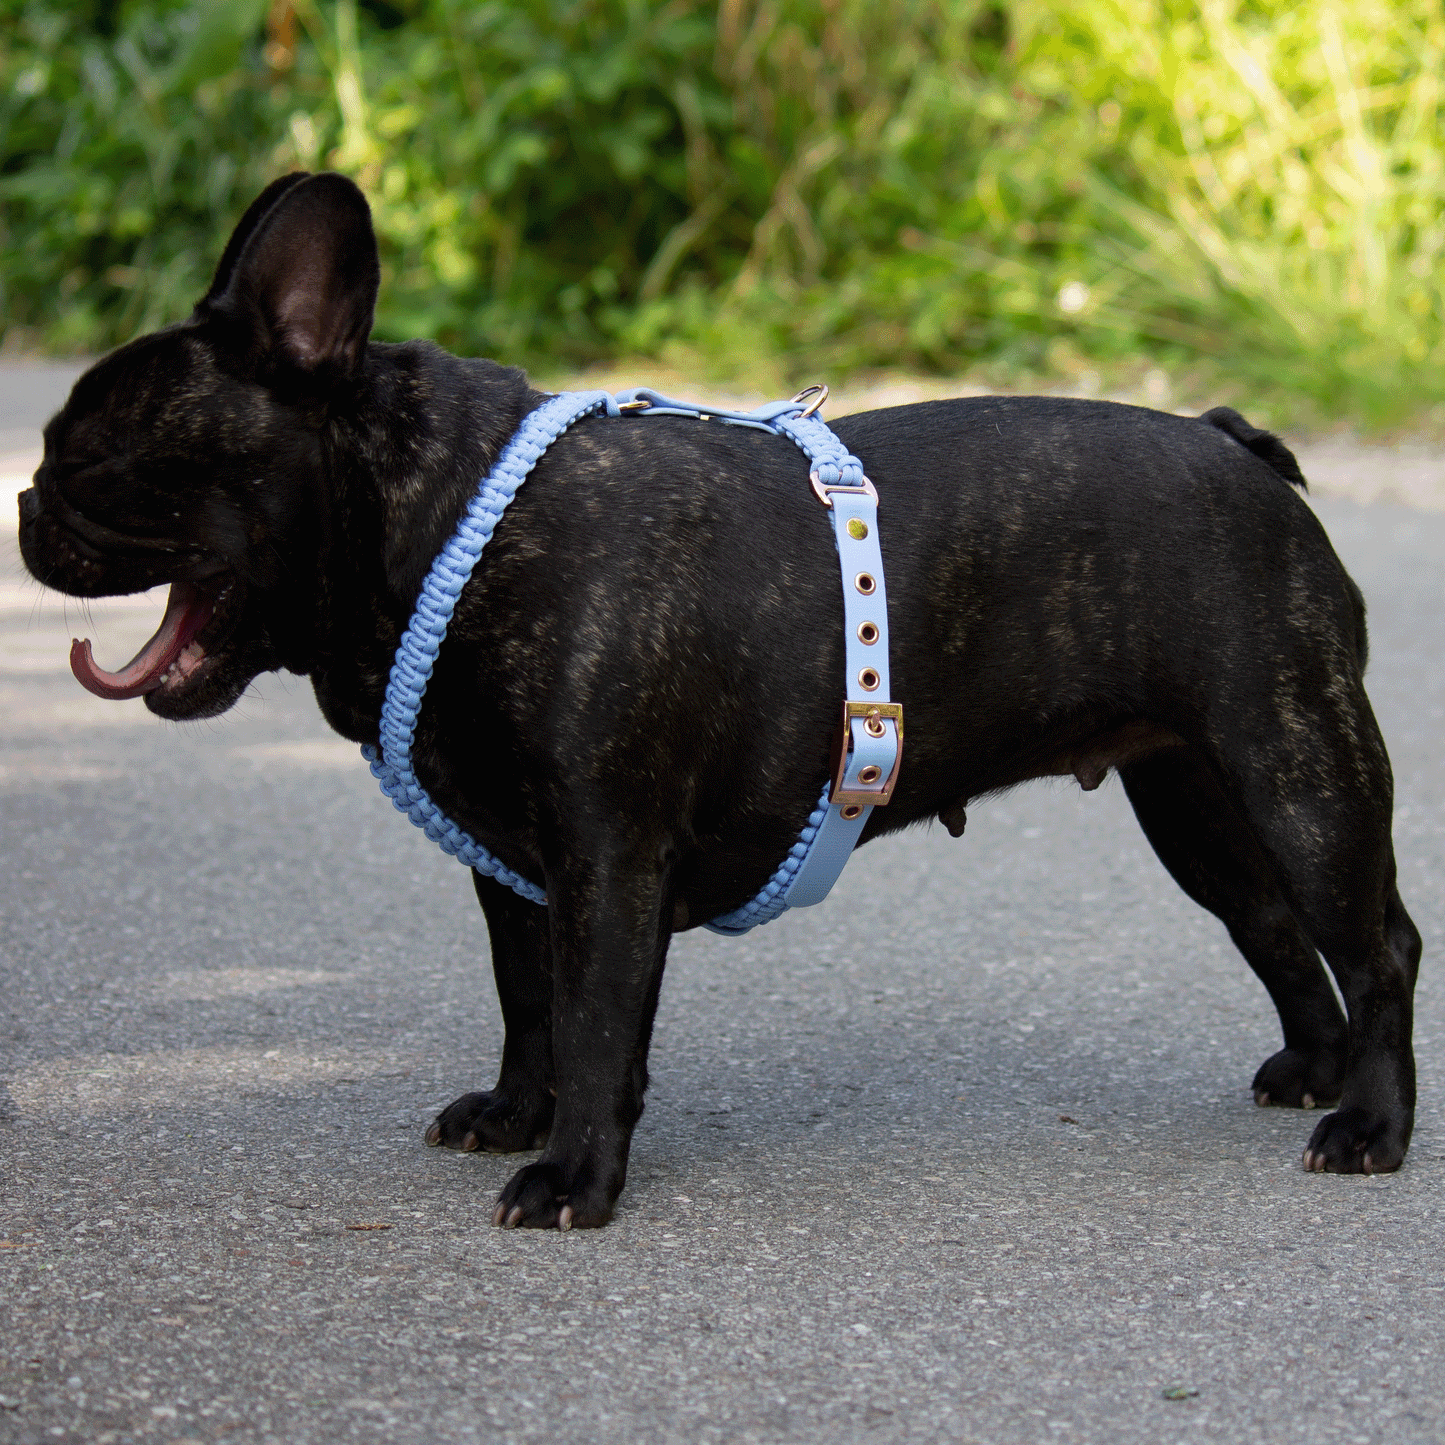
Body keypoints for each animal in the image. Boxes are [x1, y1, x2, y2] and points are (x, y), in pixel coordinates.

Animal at [16, 174, 1416, 1225]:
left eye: (98, 454)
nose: (26, 501)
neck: (452, 521)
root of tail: (1231, 436)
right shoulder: (515, 869)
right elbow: (529, 1002)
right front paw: (513, 1113)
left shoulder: (605, 856)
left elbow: (594, 1020)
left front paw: (574, 1175)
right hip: (1197, 798)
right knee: (1275, 925)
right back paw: (1316, 1072)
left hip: (1297, 768)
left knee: (1376, 940)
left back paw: (1372, 1125)